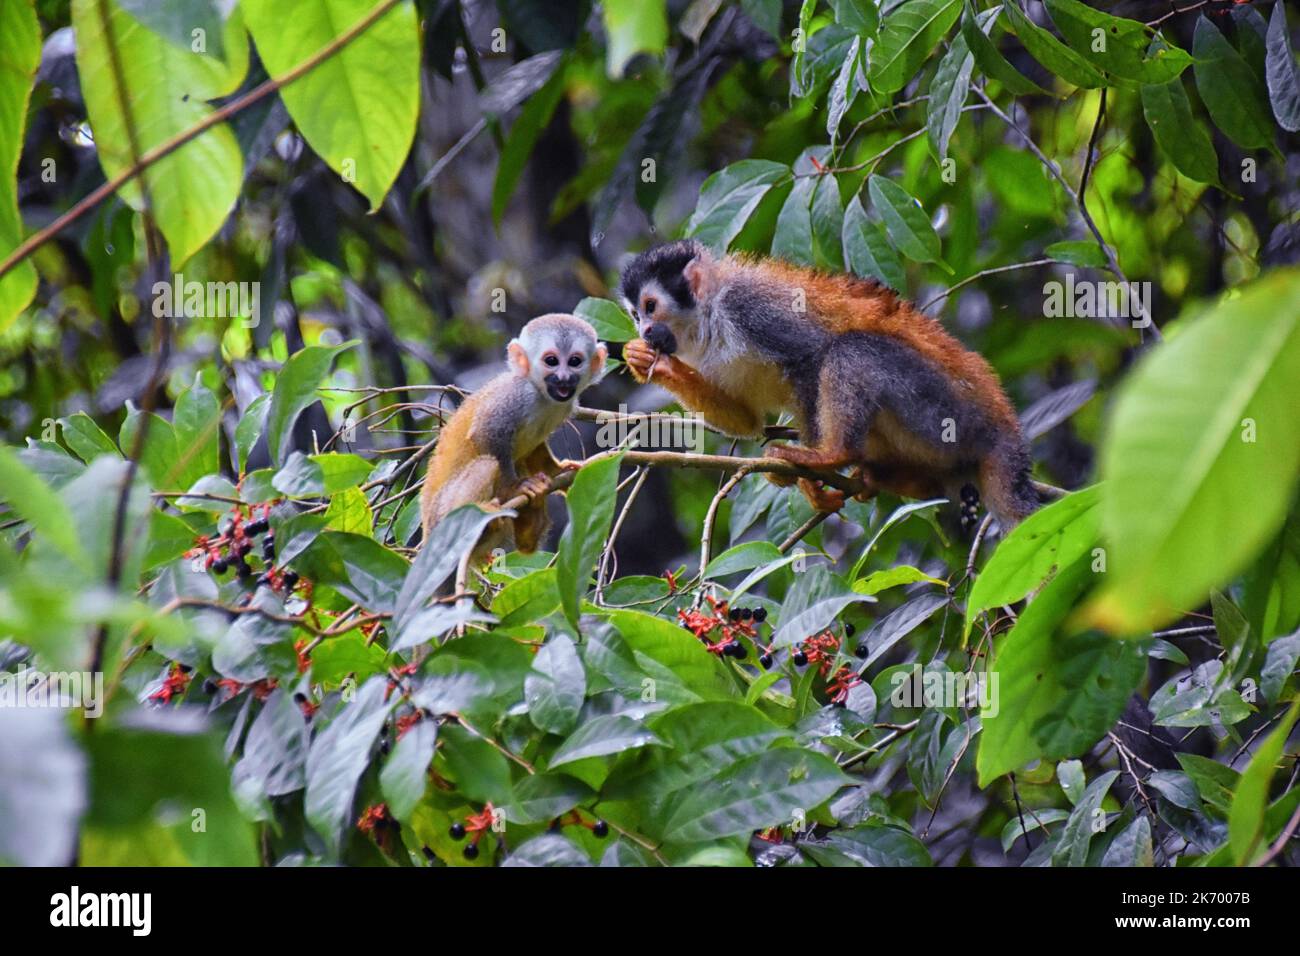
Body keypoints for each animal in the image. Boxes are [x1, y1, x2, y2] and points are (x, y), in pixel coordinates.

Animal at [420, 313, 607, 563]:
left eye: (574, 361)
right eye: (551, 361)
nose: (564, 378)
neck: (541, 393)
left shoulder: (566, 404)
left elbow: (535, 449)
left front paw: (557, 471)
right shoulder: (517, 395)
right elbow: (485, 431)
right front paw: (514, 489)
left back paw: (530, 527)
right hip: (440, 516)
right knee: (487, 464)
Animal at [619, 239, 1038, 528]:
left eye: (651, 307)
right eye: (636, 315)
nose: (645, 330)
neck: (709, 319)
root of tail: (1001, 428)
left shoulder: (748, 306)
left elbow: (811, 357)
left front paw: (812, 467)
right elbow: (745, 421)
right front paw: (654, 365)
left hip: (944, 413)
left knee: (850, 350)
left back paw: (835, 454)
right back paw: (900, 480)